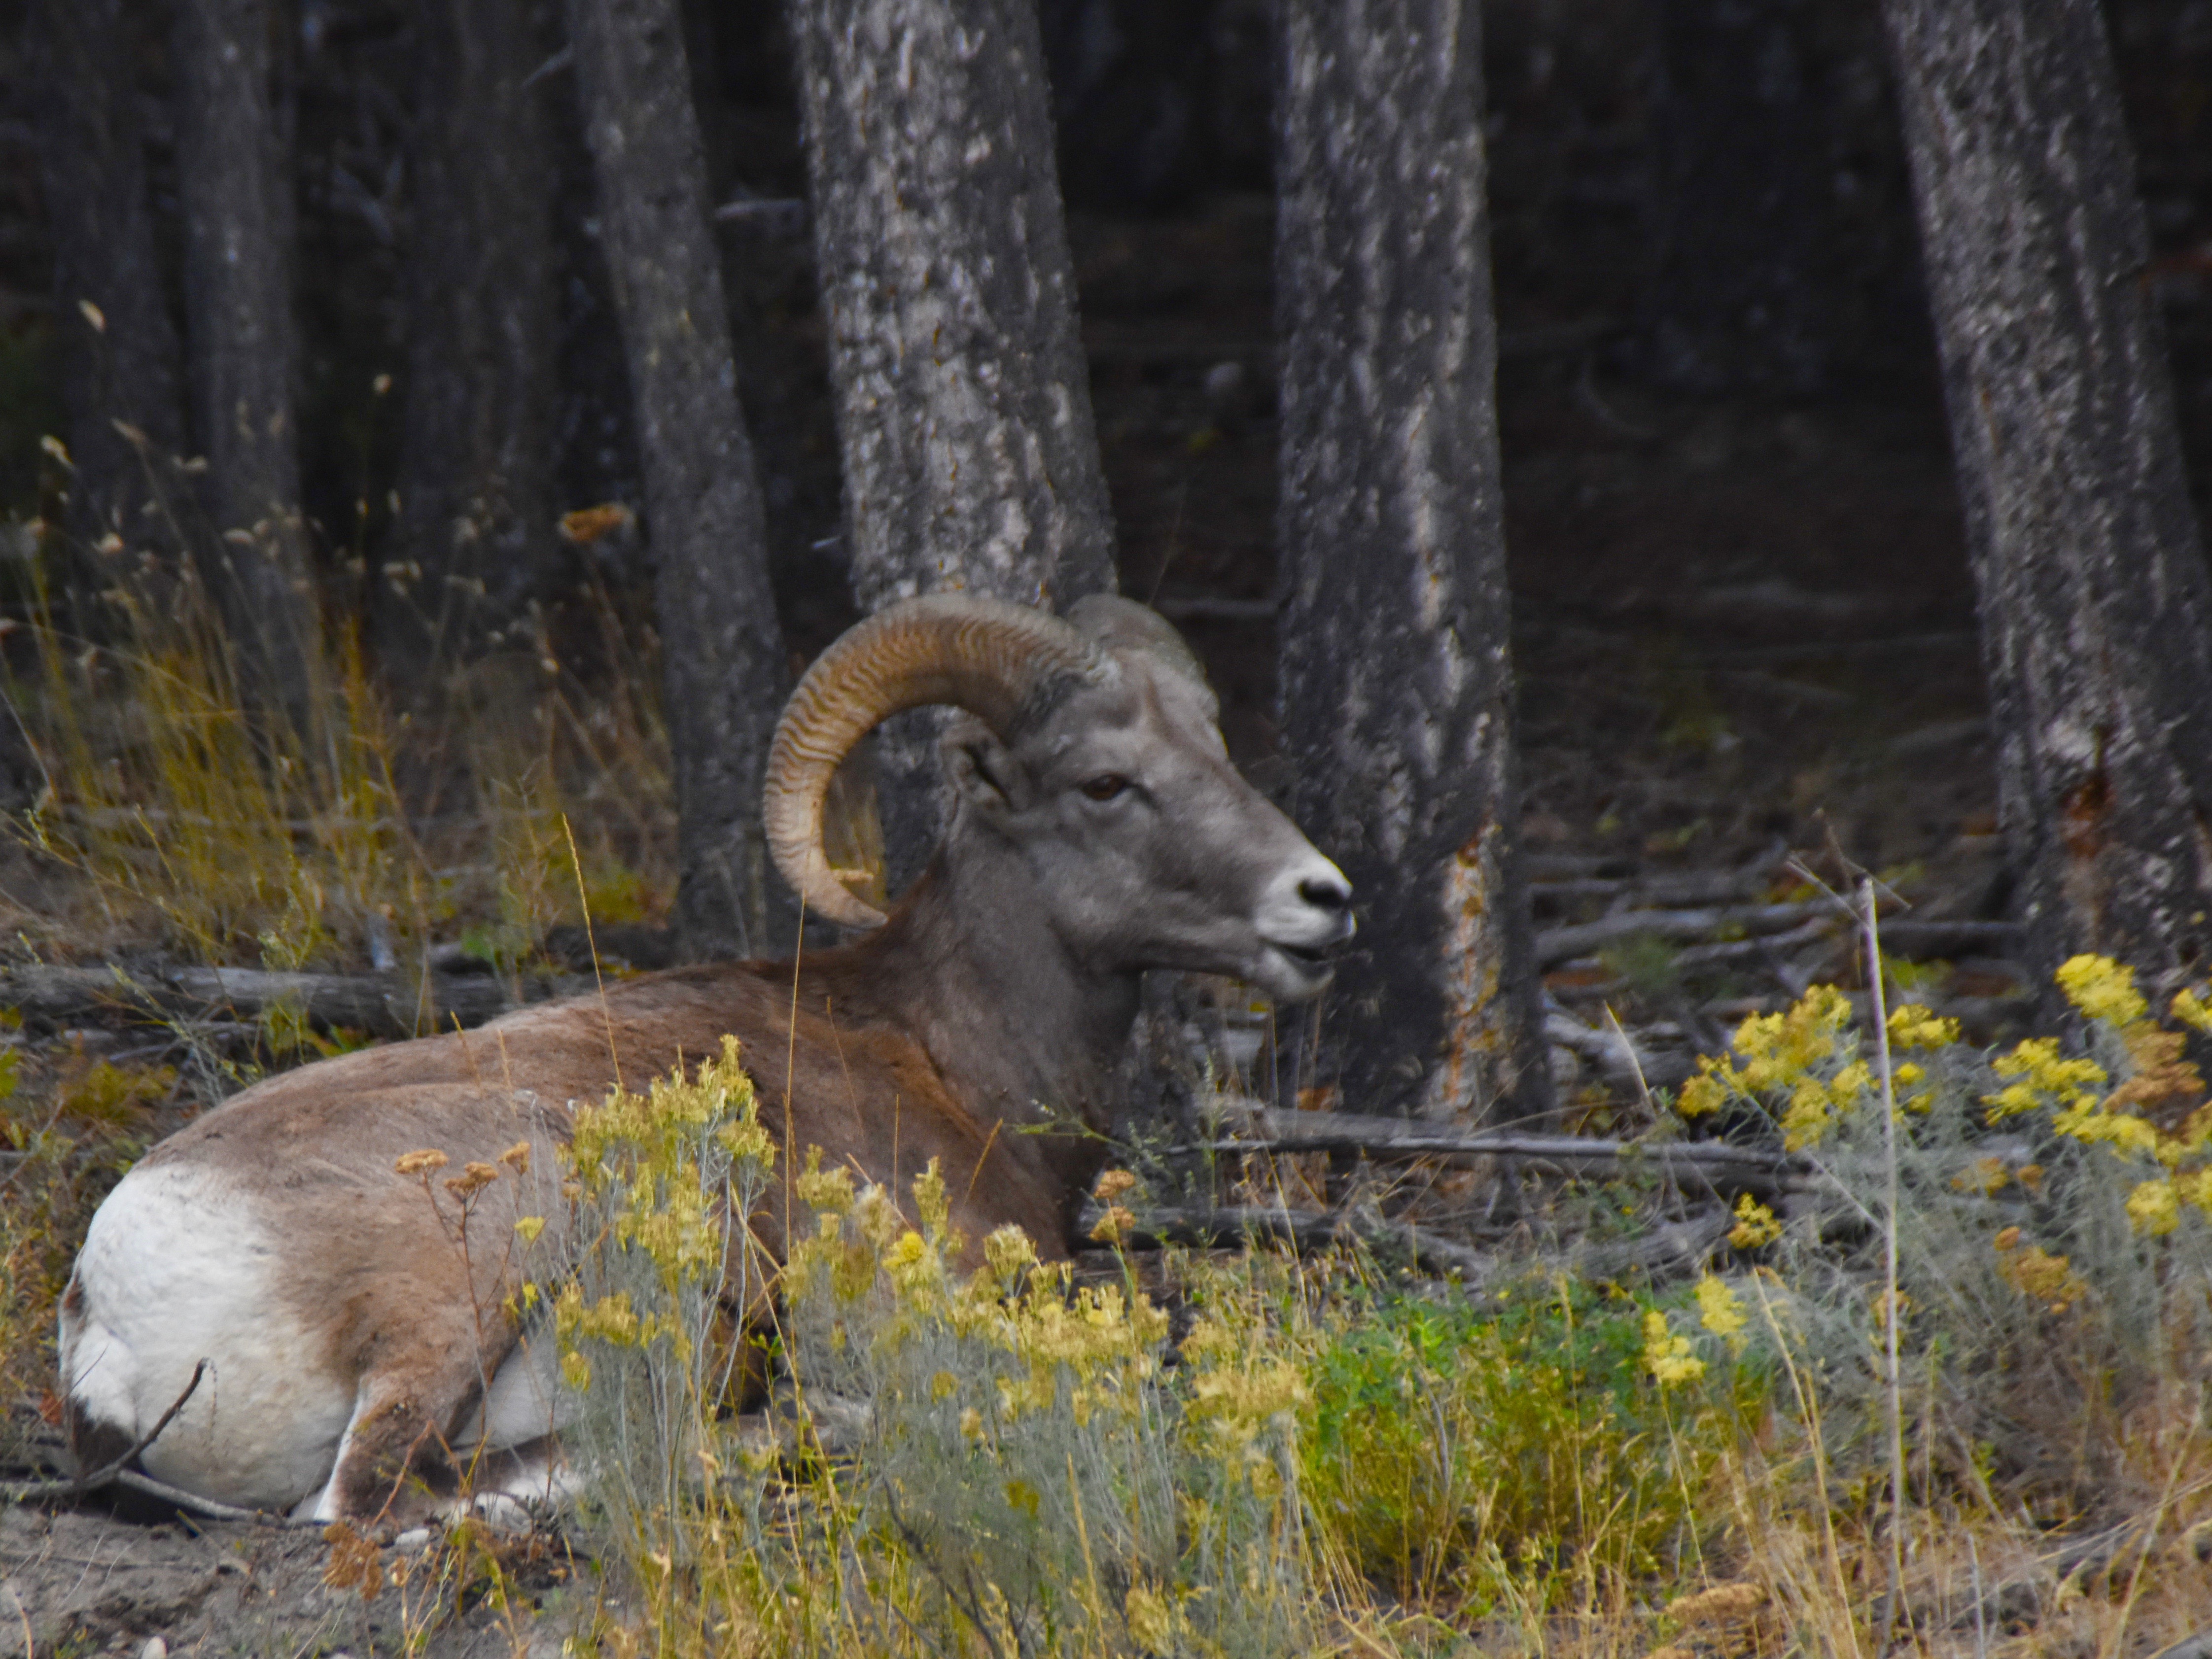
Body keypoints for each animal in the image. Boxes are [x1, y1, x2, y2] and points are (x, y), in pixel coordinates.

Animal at [60, 597, 1345, 1530]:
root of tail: (108, 1307)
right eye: (1105, 782)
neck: (946, 1055)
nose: (1322, 898)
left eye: (1217, 752)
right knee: (381, 1499)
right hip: (497, 1238)